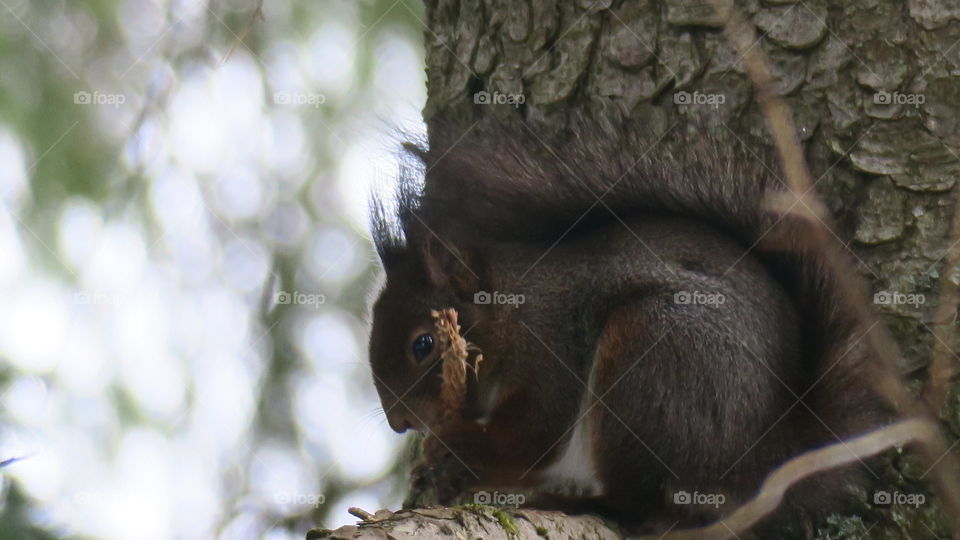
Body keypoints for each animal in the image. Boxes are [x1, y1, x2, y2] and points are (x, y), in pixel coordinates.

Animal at [366, 120, 892, 532]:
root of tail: (762, 462)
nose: (398, 423)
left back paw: (579, 503)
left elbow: (531, 440)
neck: (511, 313)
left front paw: (454, 447)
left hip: (652, 358)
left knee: (636, 503)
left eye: (423, 344)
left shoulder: (550, 350)